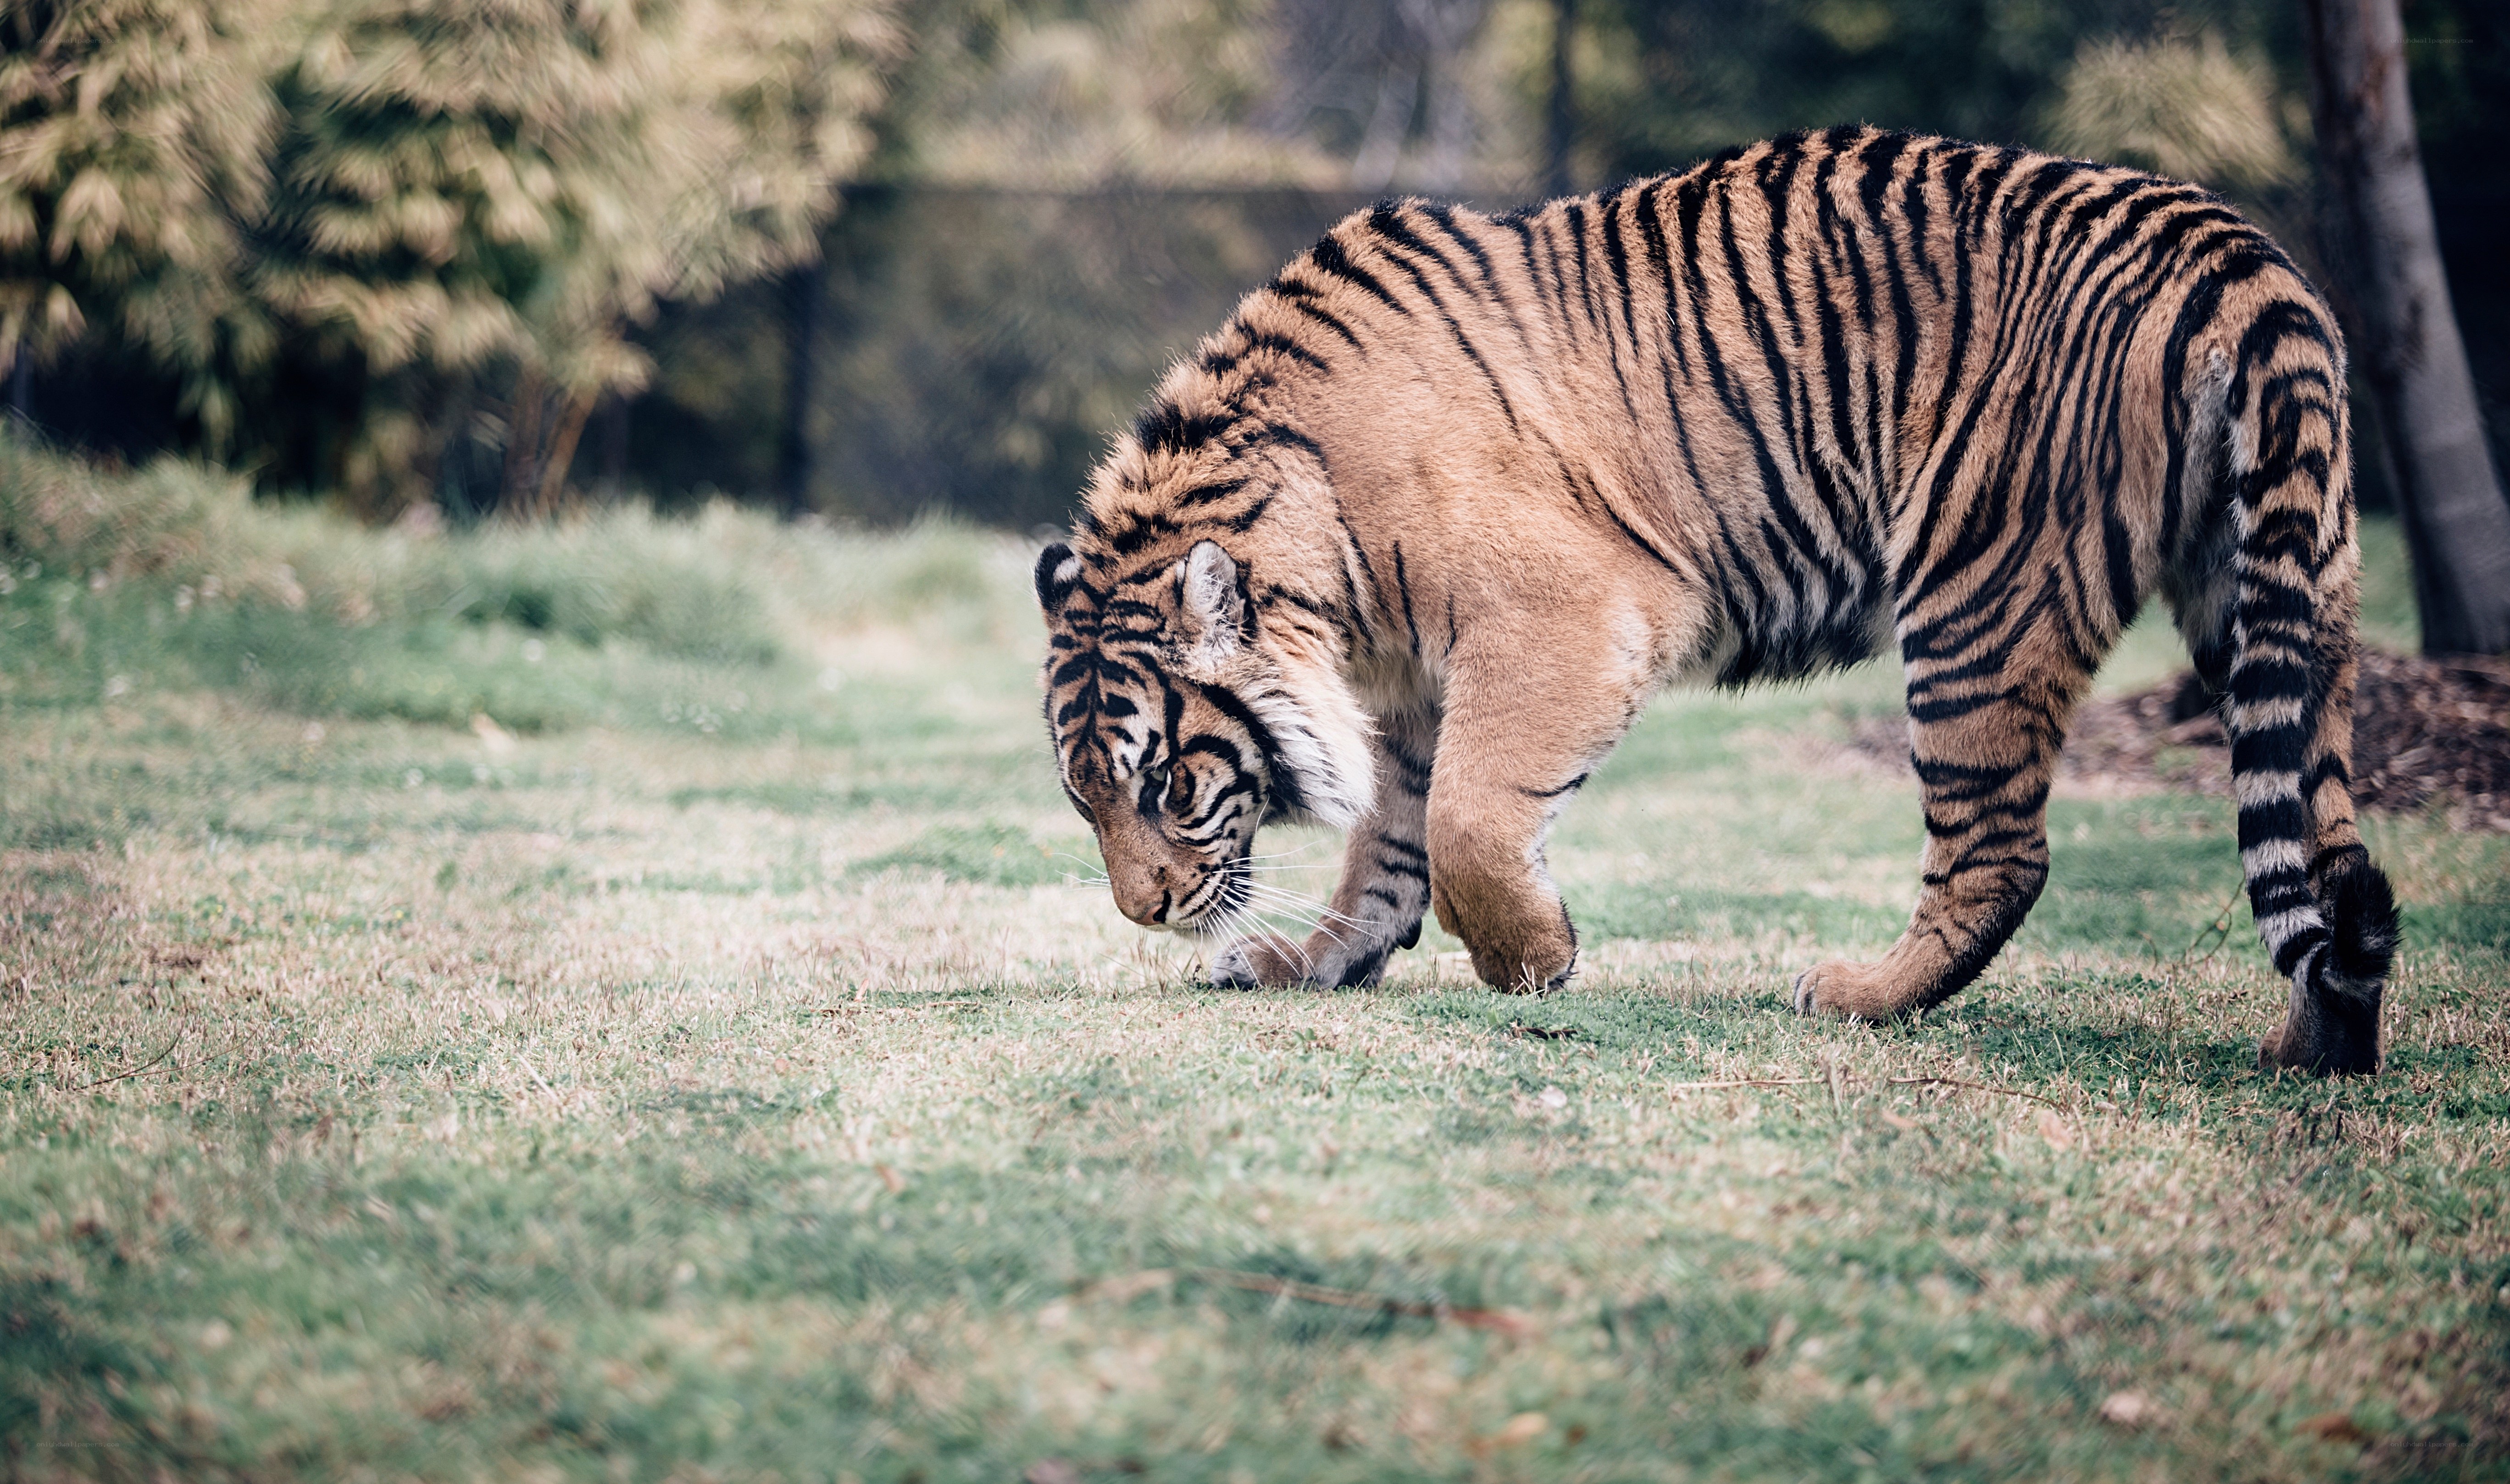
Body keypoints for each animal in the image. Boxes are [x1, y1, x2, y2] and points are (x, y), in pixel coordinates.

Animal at [1034, 126, 2401, 1075]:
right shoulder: (1411, 684)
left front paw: (1534, 961)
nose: (1143, 912)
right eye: (1084, 796)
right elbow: (1387, 840)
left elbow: (1465, 819)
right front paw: (1310, 961)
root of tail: (2232, 254)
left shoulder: (1565, 615)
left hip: (1977, 594)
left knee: (2001, 850)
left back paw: (1856, 994)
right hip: (2278, 595)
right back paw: (2313, 1043)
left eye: (1169, 784)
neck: (1319, 551)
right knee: (2319, 839)